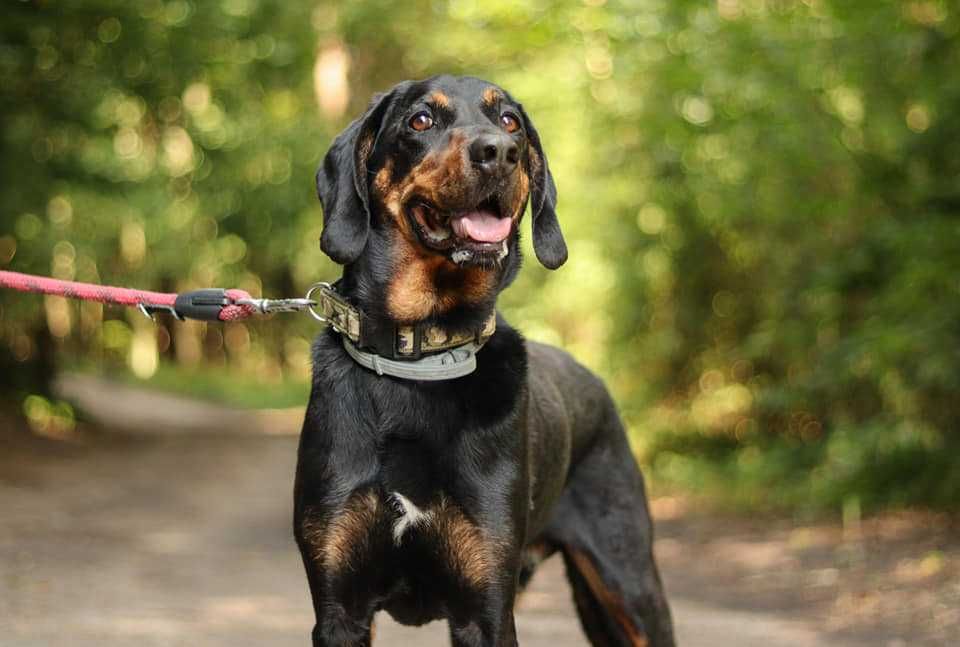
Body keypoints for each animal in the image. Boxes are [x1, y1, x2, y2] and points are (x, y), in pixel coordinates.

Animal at [292, 77, 676, 647]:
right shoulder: (340, 608)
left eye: (511, 121)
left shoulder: (487, 607)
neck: (421, 359)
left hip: (628, 576)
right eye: (421, 120)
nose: (500, 153)